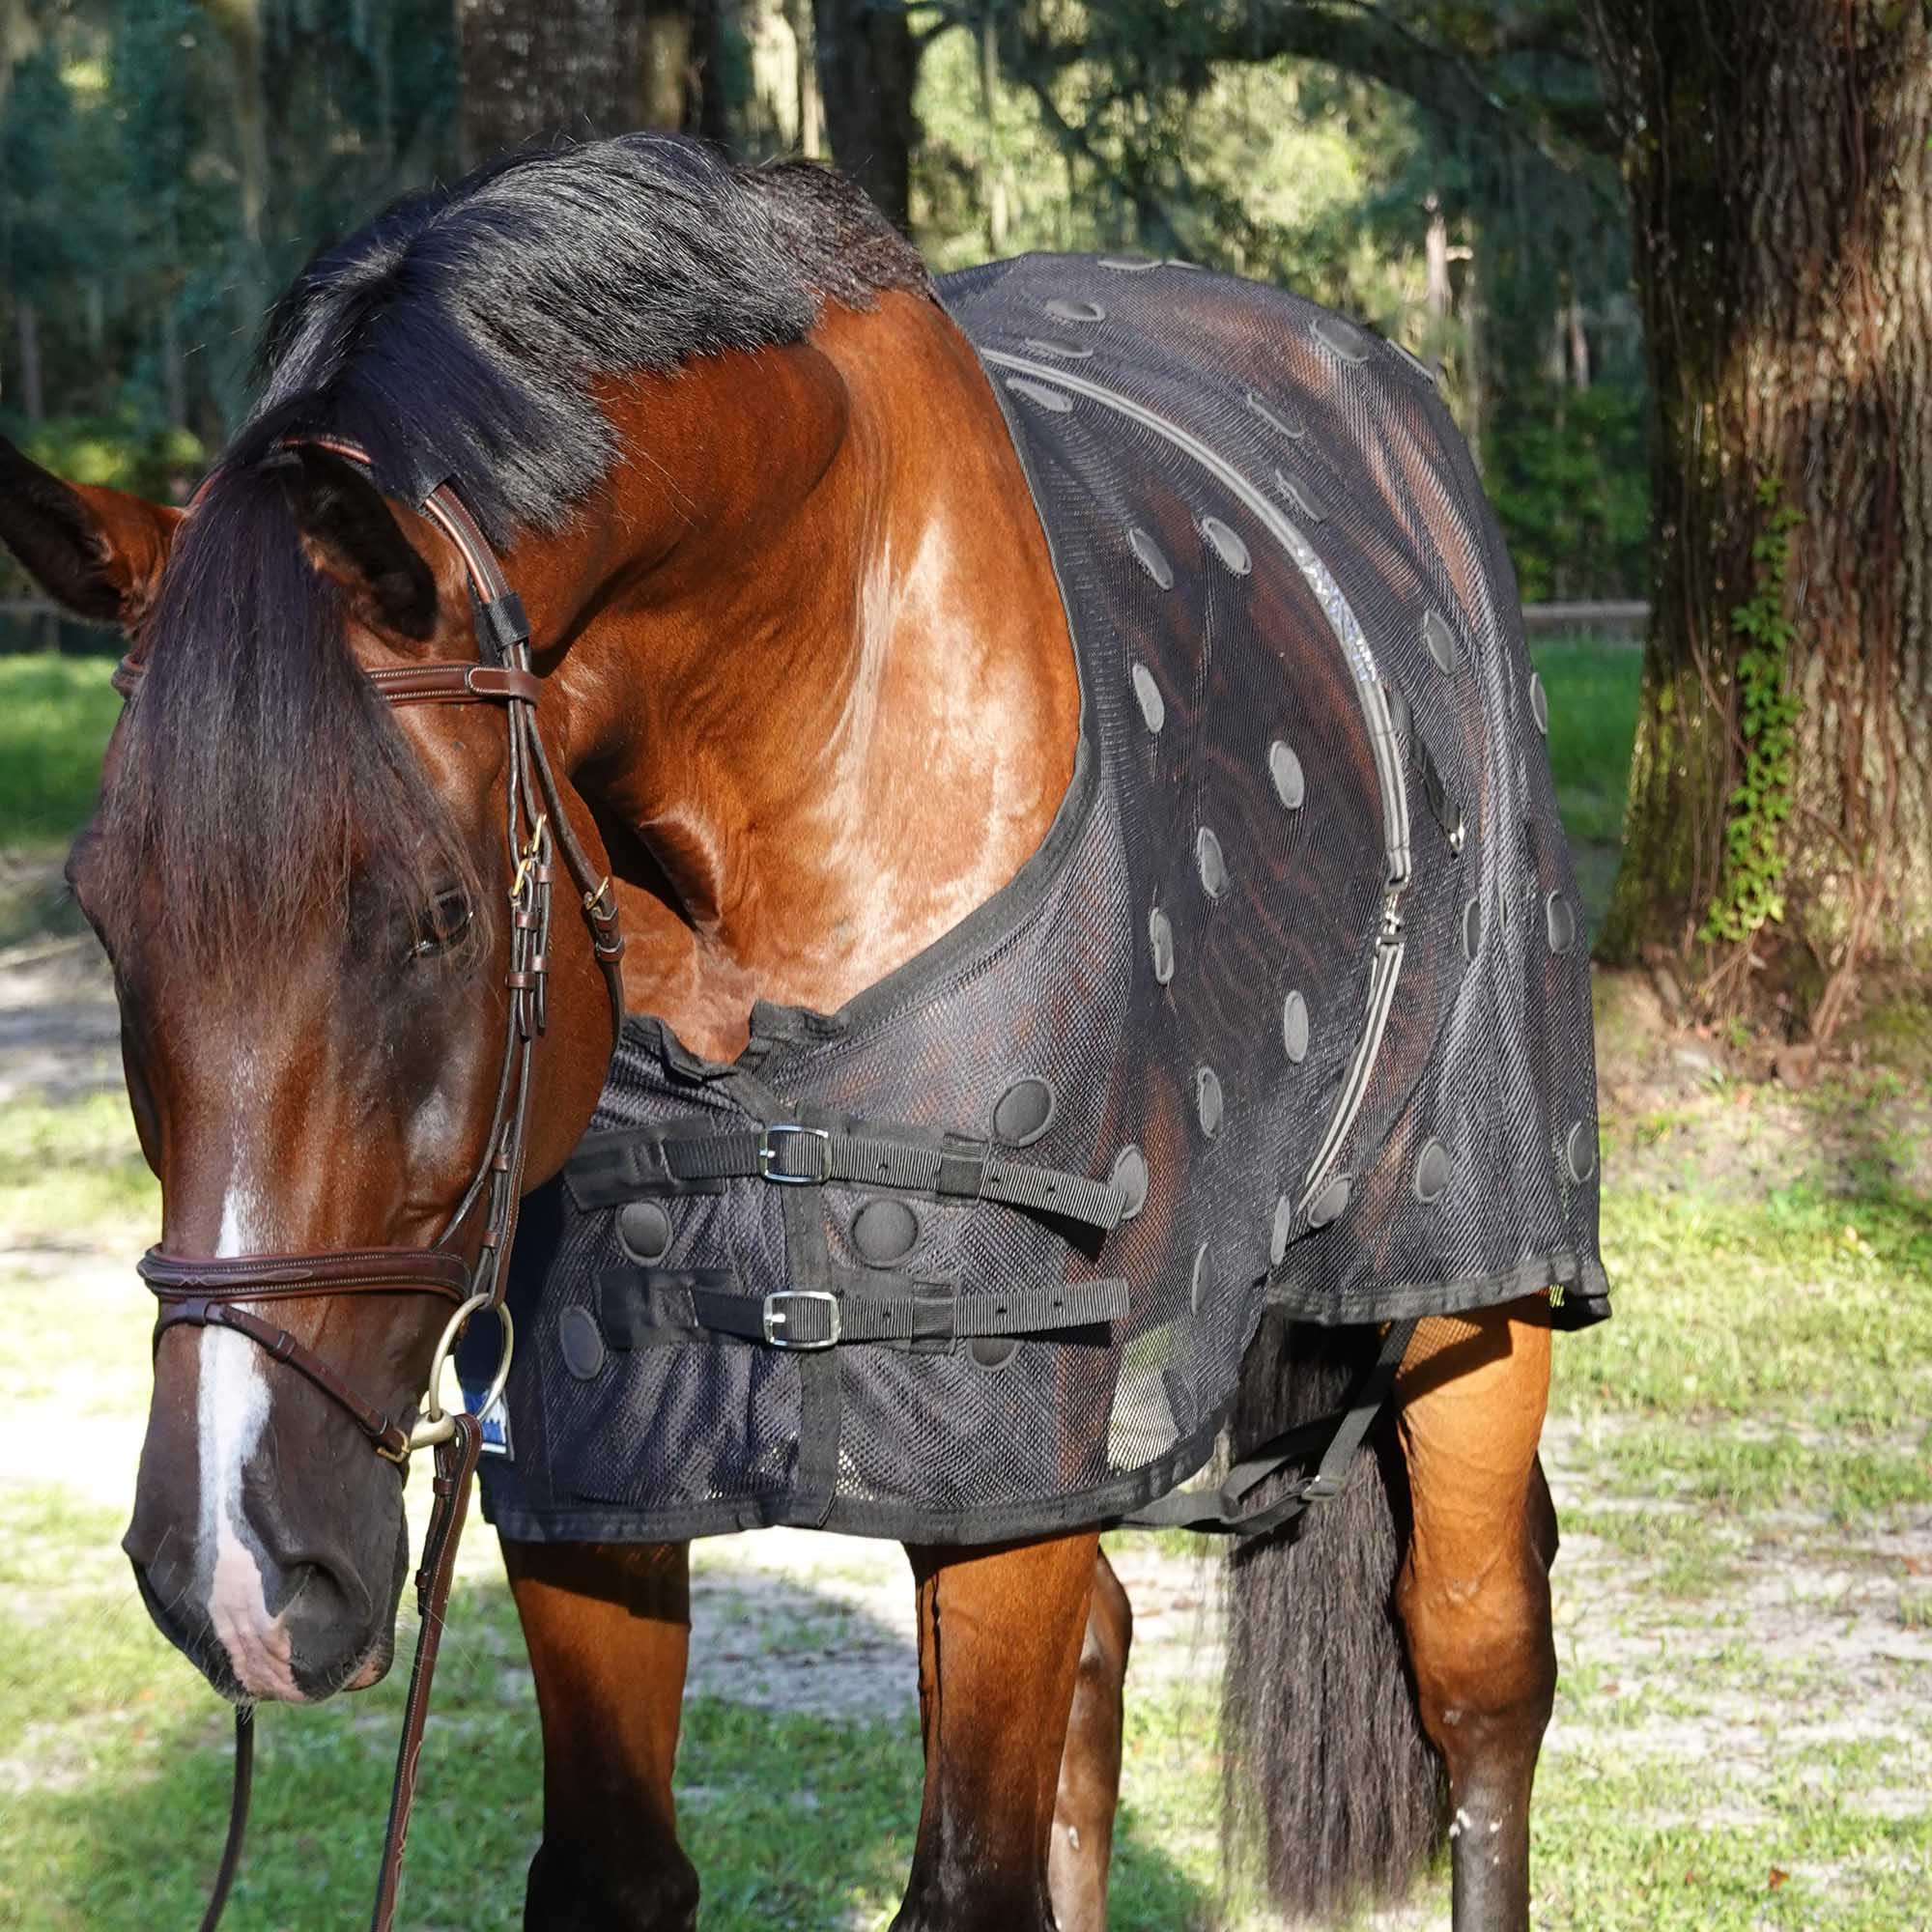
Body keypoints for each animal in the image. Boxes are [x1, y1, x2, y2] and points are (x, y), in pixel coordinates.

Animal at [3, 136, 1572, 1931]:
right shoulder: (601, 1468)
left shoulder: (1002, 1457)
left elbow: (970, 1880)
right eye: (107, 917)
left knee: (1478, 1671)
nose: (239, 1575)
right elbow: (621, 1868)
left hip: (1467, 1285)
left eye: (436, 919)